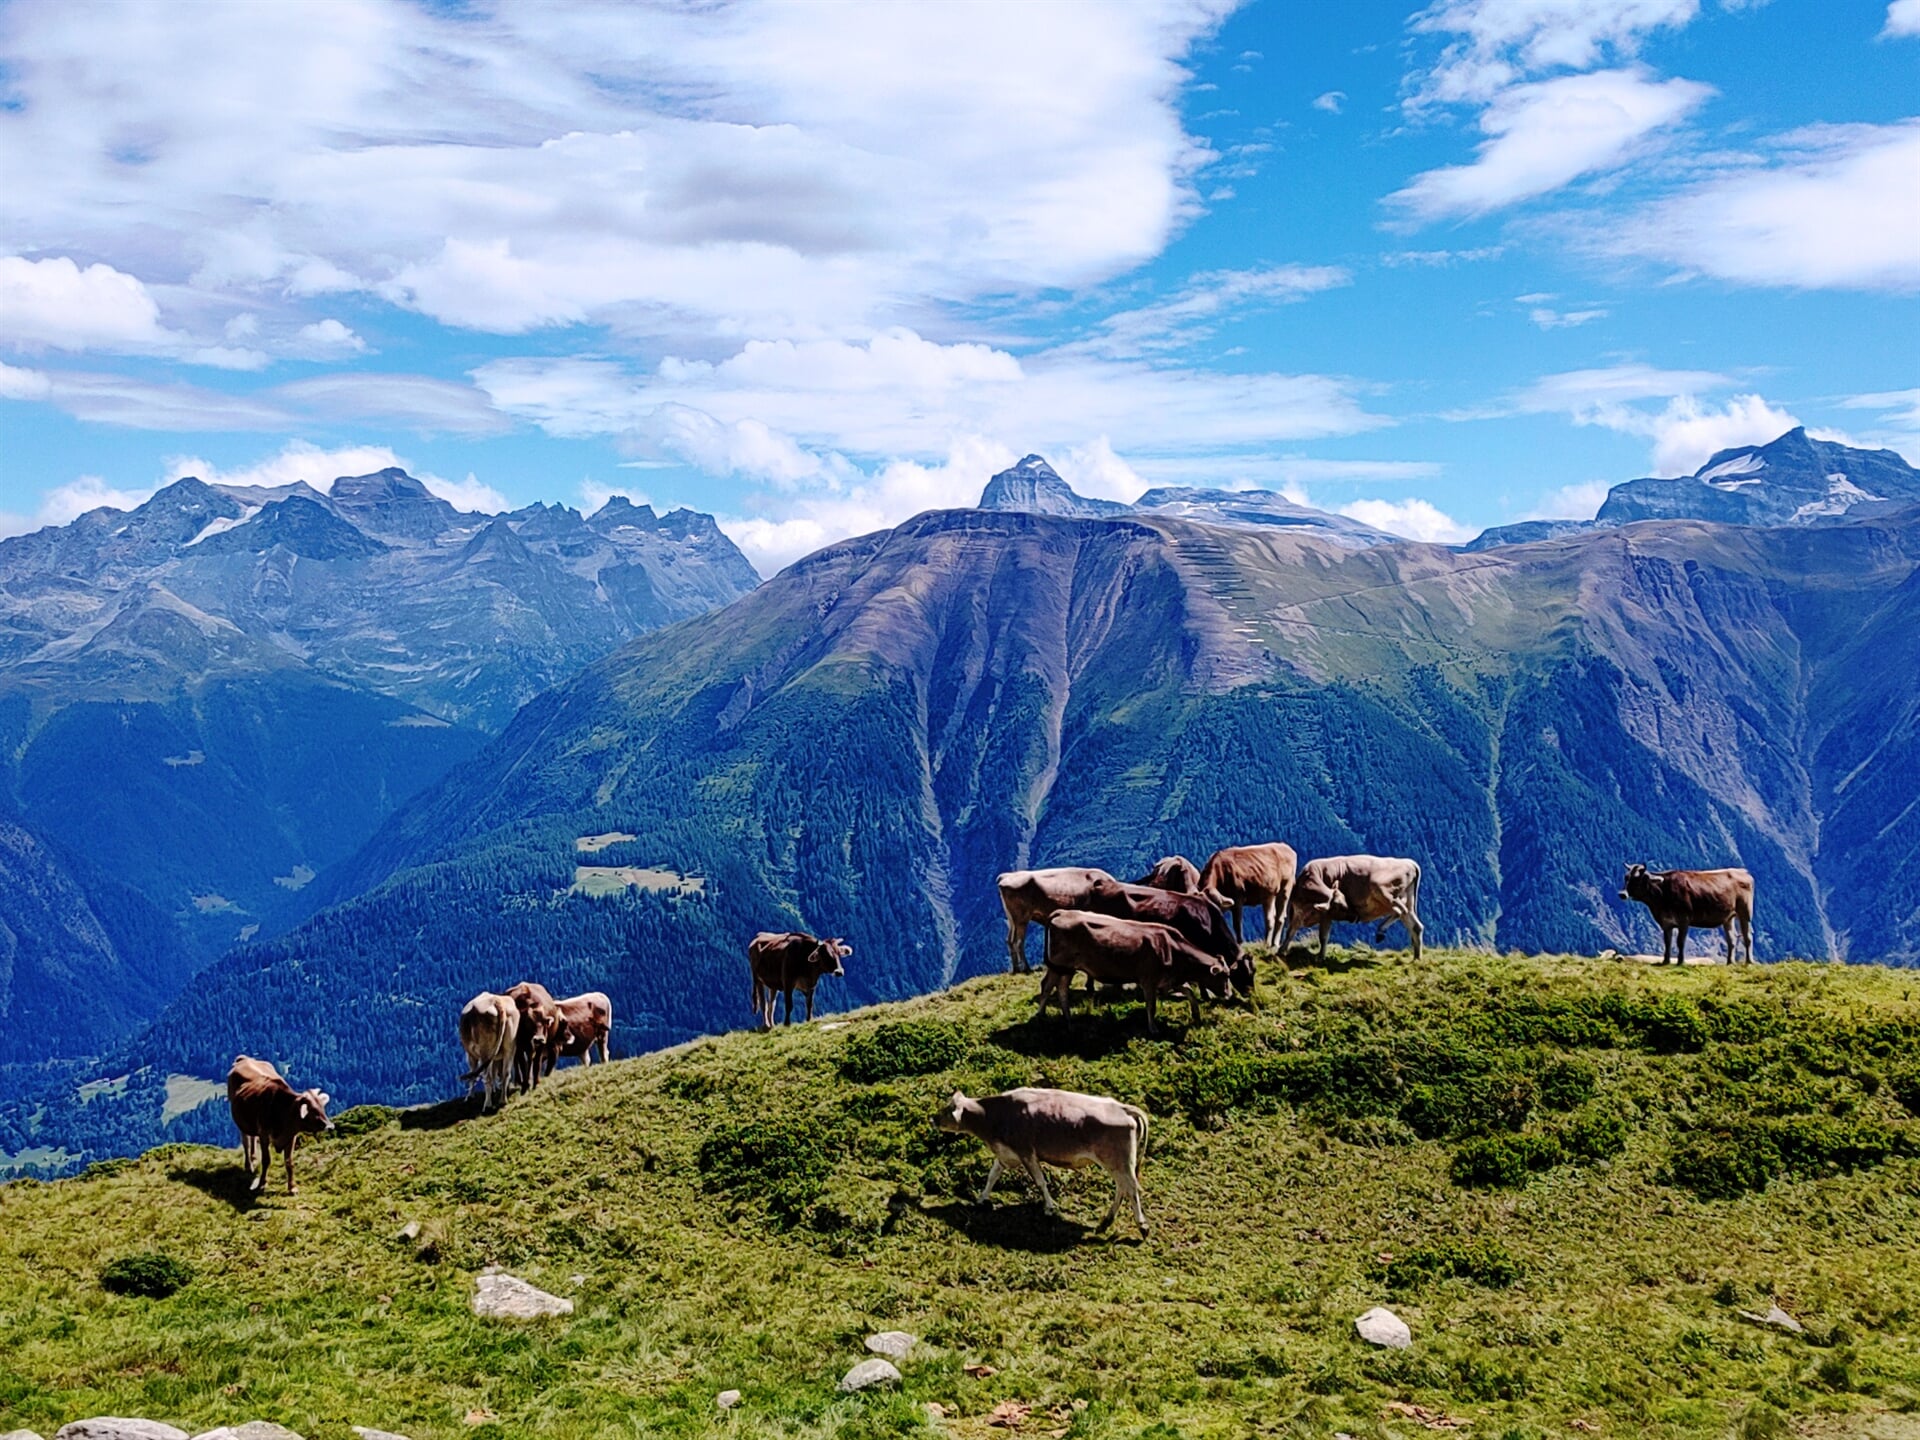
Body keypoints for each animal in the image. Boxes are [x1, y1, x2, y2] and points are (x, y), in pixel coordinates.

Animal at [226, 1052, 332, 1198]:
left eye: (322, 1108)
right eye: (313, 1111)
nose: (330, 1126)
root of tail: (245, 1059)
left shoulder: (291, 1136)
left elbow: (289, 1162)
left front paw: (292, 1187)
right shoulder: (264, 1135)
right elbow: (266, 1160)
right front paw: (262, 1184)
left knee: (252, 1138)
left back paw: (254, 1159)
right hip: (241, 1122)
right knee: (246, 1142)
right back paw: (249, 1165)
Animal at [933, 1090, 1144, 1244]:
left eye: (948, 1109)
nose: (933, 1119)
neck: (995, 1115)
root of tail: (1122, 1107)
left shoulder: (1026, 1153)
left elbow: (1040, 1181)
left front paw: (1049, 1208)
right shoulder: (1006, 1154)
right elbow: (992, 1176)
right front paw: (981, 1199)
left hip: (1118, 1162)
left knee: (1131, 1188)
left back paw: (1142, 1227)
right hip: (1118, 1164)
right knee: (1122, 1188)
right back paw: (1105, 1223)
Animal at [1044, 913, 1236, 1036]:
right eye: (1225, 976)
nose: (1229, 995)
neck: (1173, 949)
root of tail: (1062, 913)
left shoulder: (1169, 980)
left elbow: (1190, 992)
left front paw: (1196, 1015)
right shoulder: (1149, 980)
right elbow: (1151, 1006)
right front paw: (1153, 1029)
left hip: (1066, 969)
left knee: (1060, 989)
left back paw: (1069, 1022)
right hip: (1059, 966)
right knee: (1047, 986)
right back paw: (1041, 1016)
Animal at [1620, 867, 1758, 971]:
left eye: (1636, 880)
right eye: (1626, 877)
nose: (1622, 894)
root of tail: (1742, 871)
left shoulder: (1684, 920)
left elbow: (1680, 942)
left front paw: (1680, 962)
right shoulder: (1666, 922)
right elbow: (1667, 942)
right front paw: (1665, 961)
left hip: (1745, 913)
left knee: (1747, 937)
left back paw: (1749, 961)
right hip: (1728, 917)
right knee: (1732, 939)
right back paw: (1730, 962)